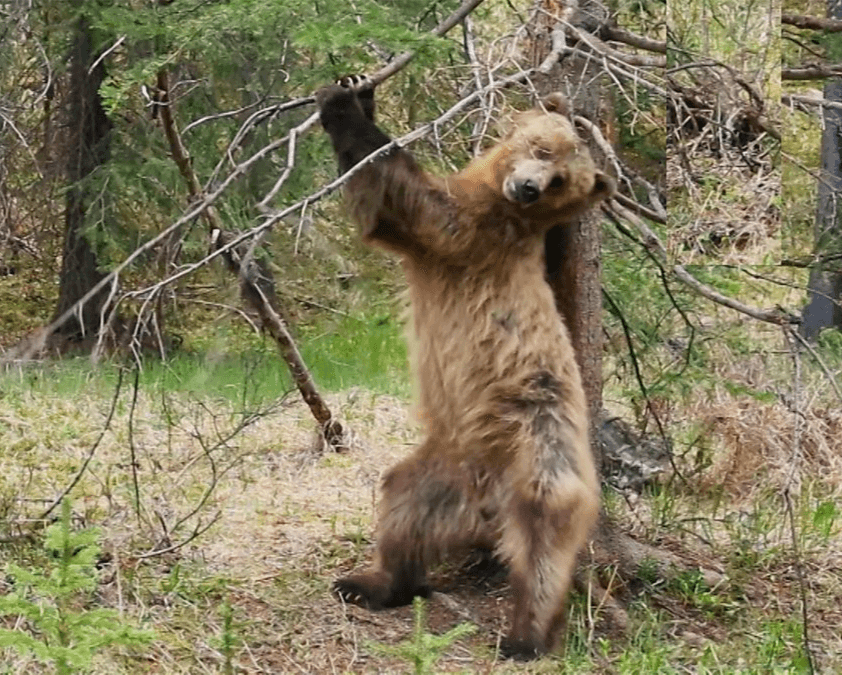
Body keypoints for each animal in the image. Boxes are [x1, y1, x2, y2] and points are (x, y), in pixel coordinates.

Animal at [316, 76, 613, 660]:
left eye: (560, 180)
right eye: (542, 148)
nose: (528, 187)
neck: (502, 201)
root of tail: (485, 504)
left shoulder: (471, 235)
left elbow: (405, 198)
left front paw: (341, 109)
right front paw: (360, 93)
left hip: (541, 438)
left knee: (546, 535)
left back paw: (525, 635)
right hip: (440, 471)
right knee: (401, 505)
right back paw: (371, 583)